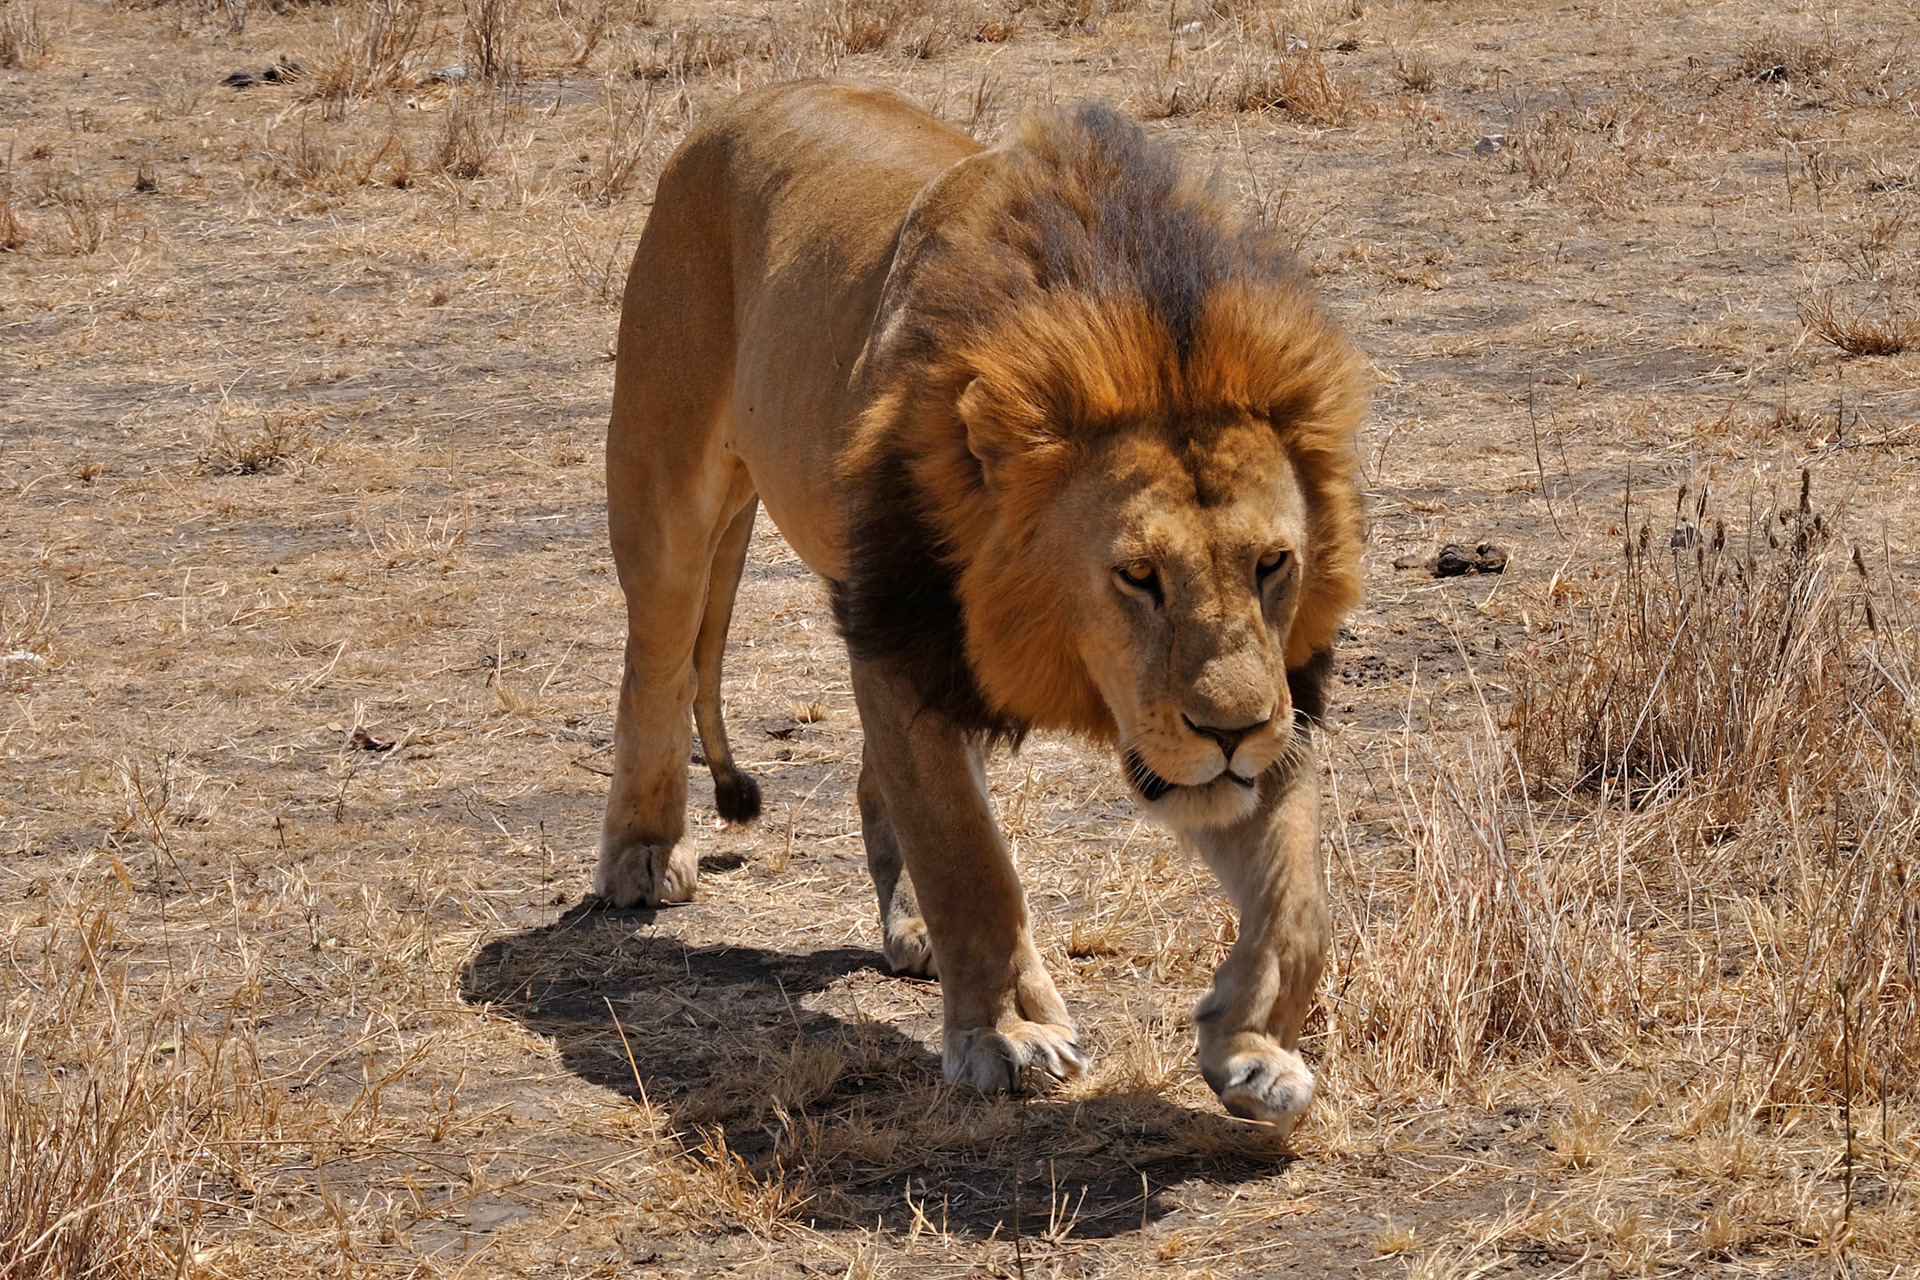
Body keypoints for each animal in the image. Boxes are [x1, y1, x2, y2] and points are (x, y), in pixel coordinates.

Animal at [596, 82, 1366, 1133]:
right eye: (1138, 574)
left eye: (1273, 563)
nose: (1231, 733)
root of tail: (748, 103)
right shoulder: (903, 639)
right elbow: (969, 859)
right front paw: (1008, 1035)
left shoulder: (1277, 686)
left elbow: (1298, 896)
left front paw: (1253, 1049)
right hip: (664, 485)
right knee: (659, 668)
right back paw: (640, 857)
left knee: (877, 783)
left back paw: (910, 926)